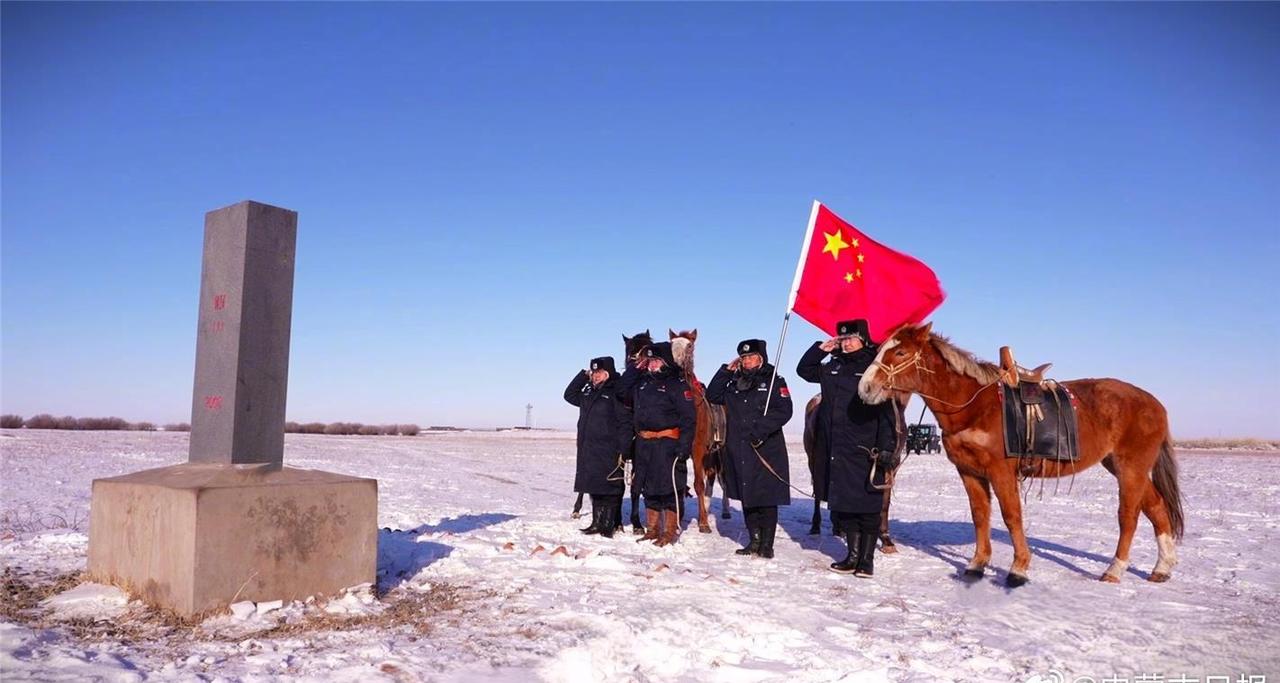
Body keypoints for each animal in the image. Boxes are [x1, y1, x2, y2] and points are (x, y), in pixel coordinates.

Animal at [669, 329, 728, 533]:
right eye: (671, 344)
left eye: (689, 345)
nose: (675, 365)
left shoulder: (697, 449)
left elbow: (698, 484)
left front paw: (703, 523)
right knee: (711, 477)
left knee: (720, 480)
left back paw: (724, 511)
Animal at [857, 323, 1185, 586]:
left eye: (900, 353)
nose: (865, 388)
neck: (974, 406)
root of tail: (1156, 404)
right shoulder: (969, 471)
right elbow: (980, 515)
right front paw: (977, 564)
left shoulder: (1001, 471)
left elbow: (1011, 516)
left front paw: (1018, 569)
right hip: (1120, 465)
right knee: (1156, 506)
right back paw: (1162, 568)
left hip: (1131, 467)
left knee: (1128, 515)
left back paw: (1115, 570)